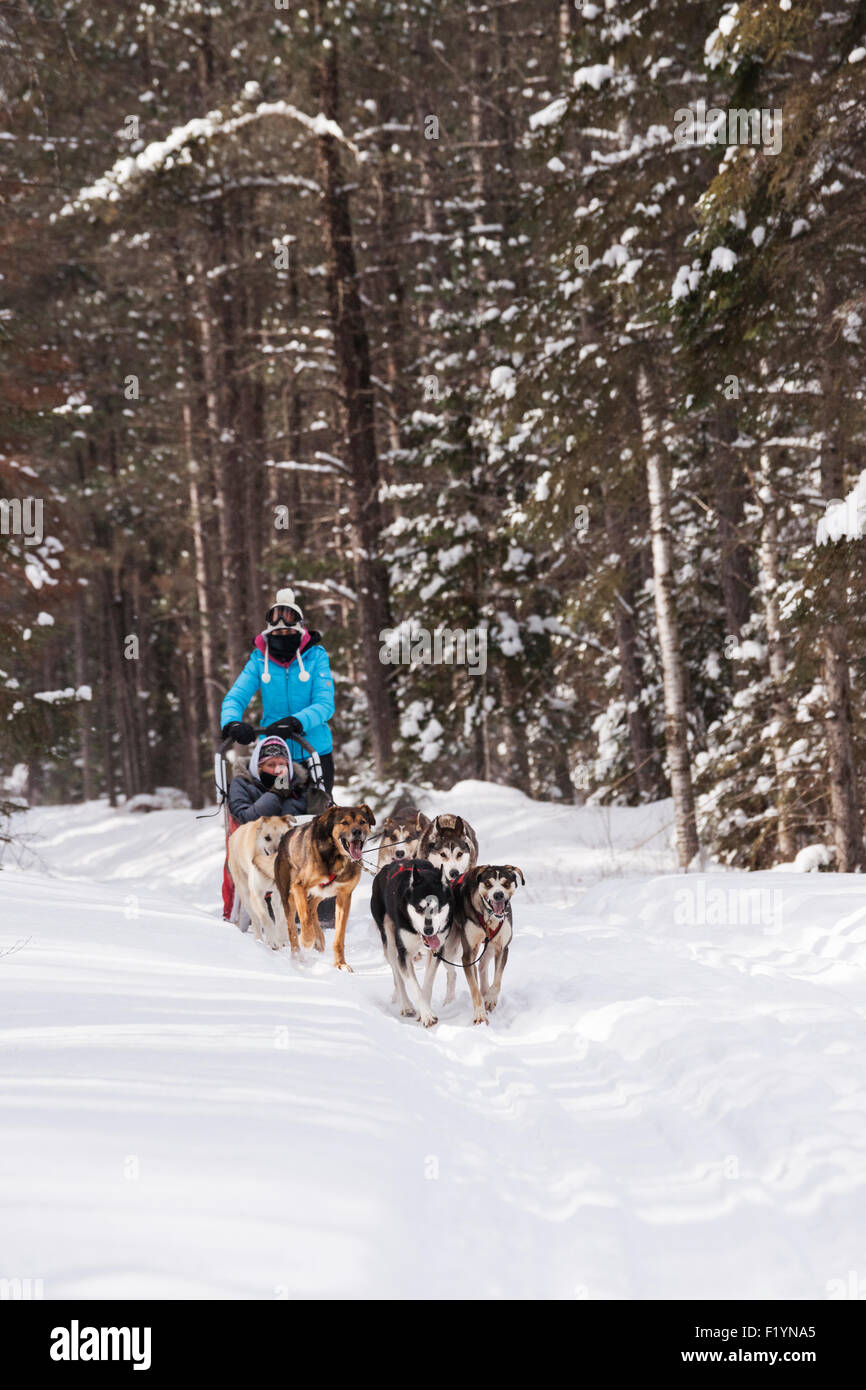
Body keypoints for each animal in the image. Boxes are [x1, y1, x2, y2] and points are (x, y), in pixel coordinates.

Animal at [225, 811, 296, 945]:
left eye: (282, 836)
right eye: (267, 838)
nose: (277, 854)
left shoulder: (282, 893)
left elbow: (281, 919)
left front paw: (282, 940)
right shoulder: (256, 895)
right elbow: (266, 919)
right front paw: (273, 941)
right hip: (246, 895)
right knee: (255, 920)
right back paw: (259, 940)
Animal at [265, 806, 378, 967]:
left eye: (362, 822)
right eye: (344, 822)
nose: (357, 832)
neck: (336, 855)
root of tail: (282, 842)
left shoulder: (344, 895)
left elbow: (339, 935)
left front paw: (340, 964)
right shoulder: (299, 887)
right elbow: (305, 919)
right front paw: (307, 940)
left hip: (323, 892)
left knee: (311, 906)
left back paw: (318, 938)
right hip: (289, 897)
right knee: (292, 926)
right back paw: (297, 955)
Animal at [369, 850, 458, 1028]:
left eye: (437, 908)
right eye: (419, 909)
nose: (428, 930)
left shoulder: (436, 951)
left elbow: (427, 984)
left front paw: (426, 1010)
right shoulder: (403, 953)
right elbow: (413, 986)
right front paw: (427, 1015)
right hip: (390, 943)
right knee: (398, 976)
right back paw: (407, 1006)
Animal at [422, 867, 525, 1023]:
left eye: (506, 883)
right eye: (488, 884)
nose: (498, 894)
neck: (489, 917)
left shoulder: (502, 948)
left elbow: (497, 980)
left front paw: (490, 999)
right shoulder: (468, 953)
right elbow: (474, 988)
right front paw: (480, 1014)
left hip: (488, 947)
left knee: (481, 966)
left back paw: (485, 991)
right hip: (446, 949)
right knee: (445, 973)